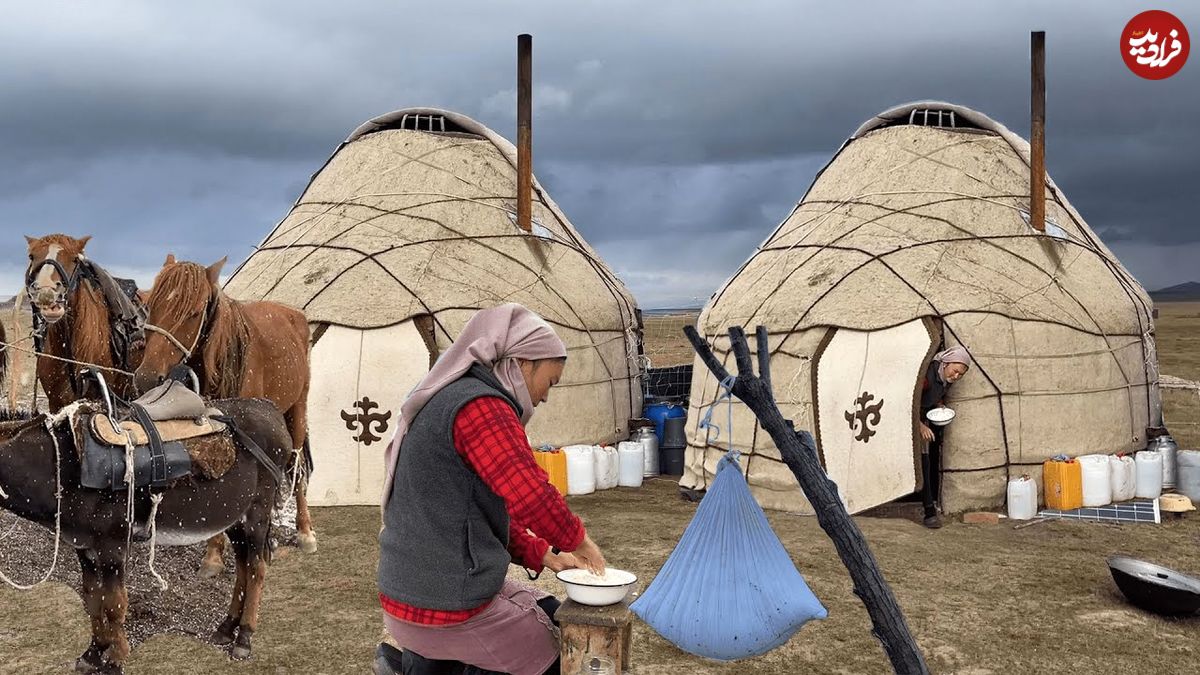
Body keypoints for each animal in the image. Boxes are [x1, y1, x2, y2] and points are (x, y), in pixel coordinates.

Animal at [0, 396, 290, 667]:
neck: (62, 465)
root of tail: (272, 411)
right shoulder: (84, 546)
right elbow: (92, 599)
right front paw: (93, 652)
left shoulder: (112, 545)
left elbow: (114, 604)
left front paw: (115, 660)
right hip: (234, 518)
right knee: (243, 566)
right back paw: (227, 628)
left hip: (257, 511)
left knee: (257, 569)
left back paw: (244, 638)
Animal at [133, 254, 316, 576]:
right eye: (151, 305)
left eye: (193, 313)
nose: (146, 378)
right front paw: (214, 553)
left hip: (298, 408)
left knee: (295, 463)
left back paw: (304, 531)